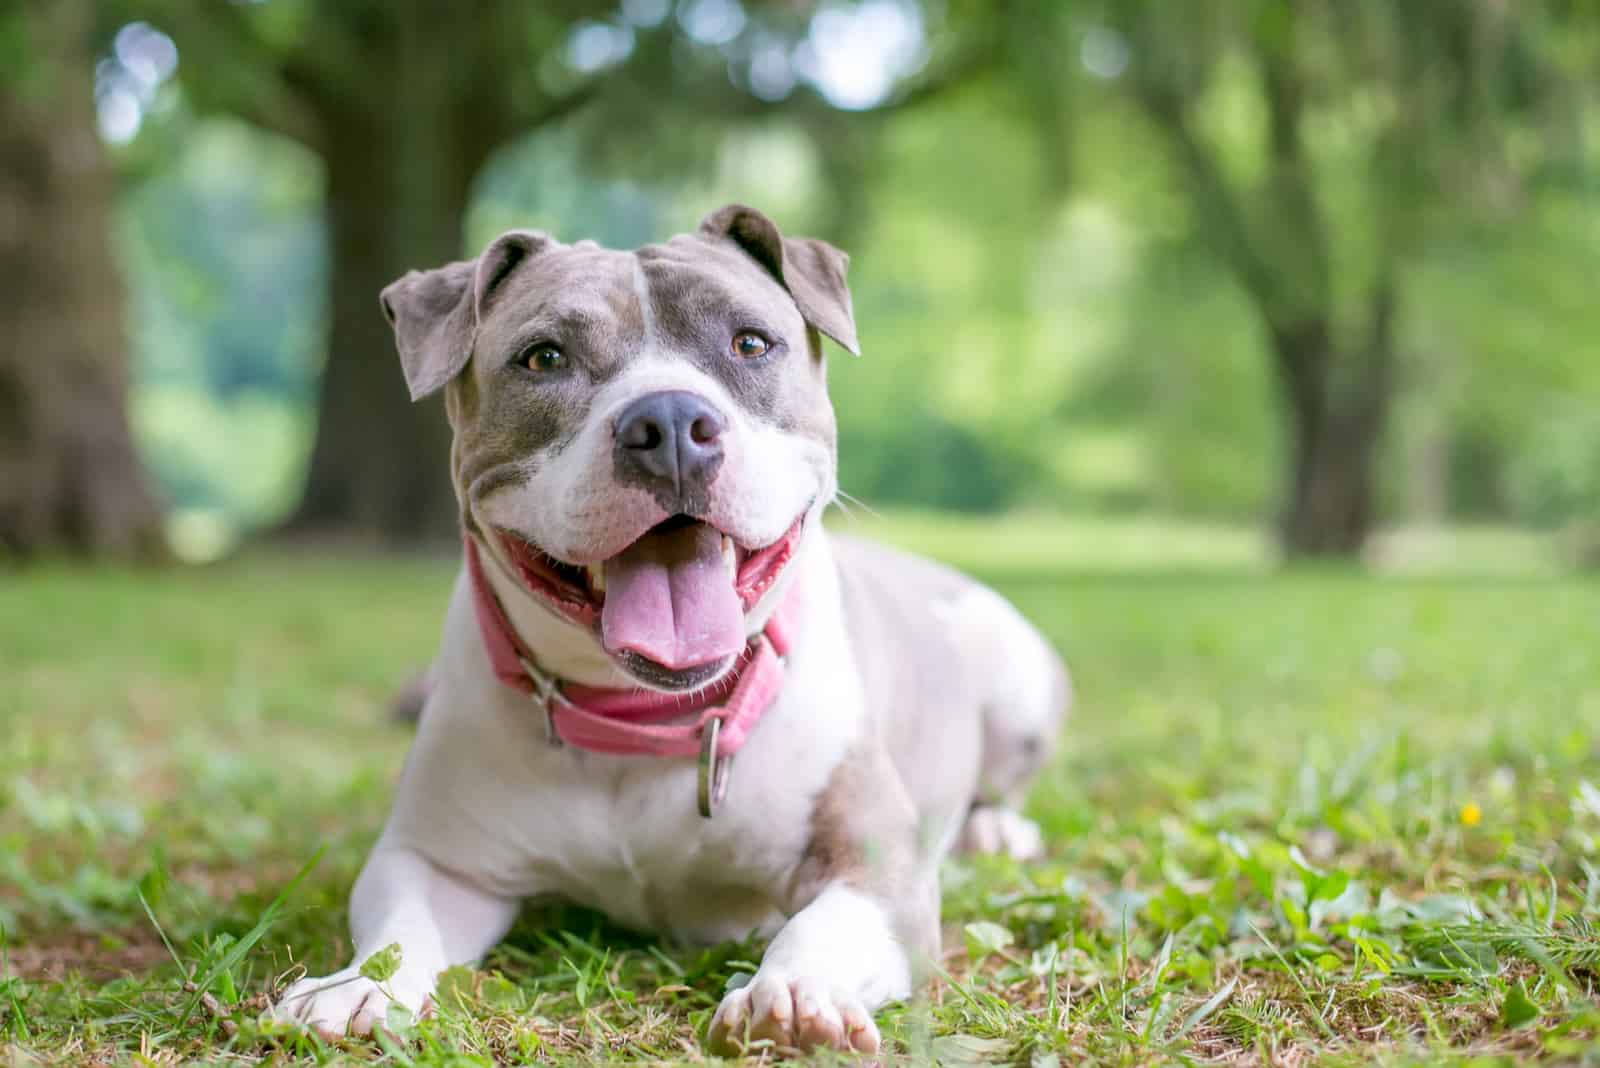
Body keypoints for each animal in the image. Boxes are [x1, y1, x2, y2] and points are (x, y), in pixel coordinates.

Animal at [275, 206, 1075, 1048]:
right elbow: (401, 930)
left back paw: (997, 832)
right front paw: (357, 988)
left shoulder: (879, 870)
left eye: (751, 342)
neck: (645, 718)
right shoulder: (436, 860)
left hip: (1012, 666)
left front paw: (794, 994)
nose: (667, 420)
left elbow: (821, 925)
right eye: (544, 357)